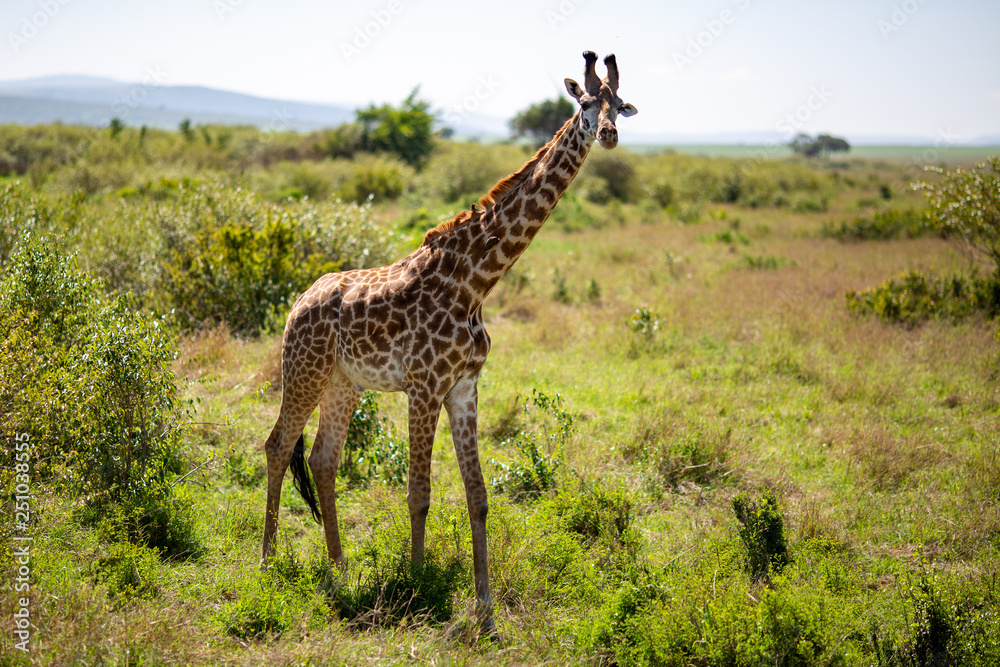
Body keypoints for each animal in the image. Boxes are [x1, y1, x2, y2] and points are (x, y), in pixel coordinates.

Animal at [260, 51, 637, 632]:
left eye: (620, 106)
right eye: (585, 106)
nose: (610, 135)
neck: (477, 281)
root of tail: (298, 302)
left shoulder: (464, 386)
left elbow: (477, 495)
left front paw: (484, 606)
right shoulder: (424, 384)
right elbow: (418, 492)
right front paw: (417, 582)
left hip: (344, 382)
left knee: (323, 459)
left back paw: (340, 568)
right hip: (304, 370)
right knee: (278, 444)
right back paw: (268, 561)